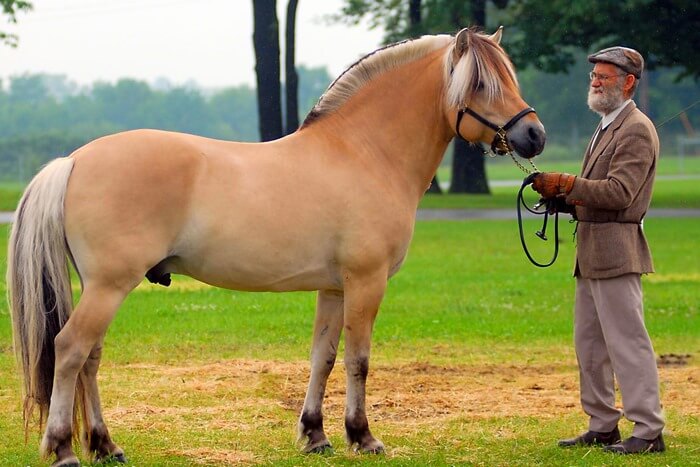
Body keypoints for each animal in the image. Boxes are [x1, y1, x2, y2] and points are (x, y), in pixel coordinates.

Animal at [7, 27, 545, 466]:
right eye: (481, 84)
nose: (534, 134)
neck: (364, 153)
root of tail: (73, 160)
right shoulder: (365, 282)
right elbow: (358, 359)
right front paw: (363, 436)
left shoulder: (334, 288)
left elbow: (322, 356)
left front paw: (315, 435)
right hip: (108, 286)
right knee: (70, 350)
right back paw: (63, 449)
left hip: (103, 287)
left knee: (90, 358)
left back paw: (105, 446)